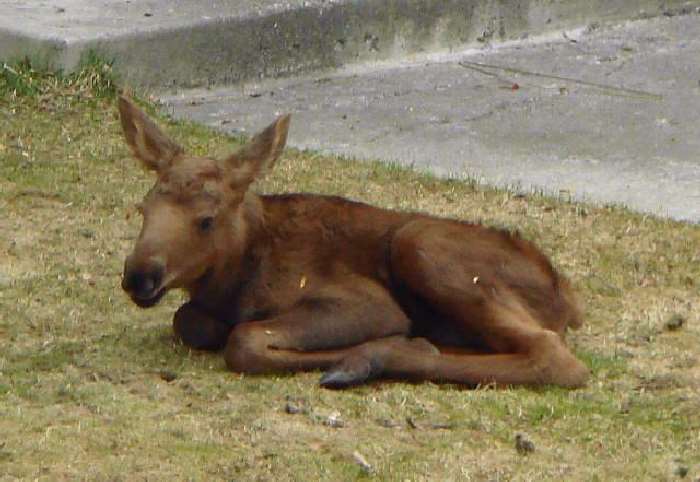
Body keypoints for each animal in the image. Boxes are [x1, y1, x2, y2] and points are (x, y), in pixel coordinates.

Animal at [120, 97, 592, 388]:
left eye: (206, 220)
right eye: (143, 208)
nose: (139, 276)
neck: (234, 278)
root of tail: (570, 302)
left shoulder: (366, 301)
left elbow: (245, 340)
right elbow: (188, 320)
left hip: (419, 243)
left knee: (555, 356)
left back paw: (369, 359)